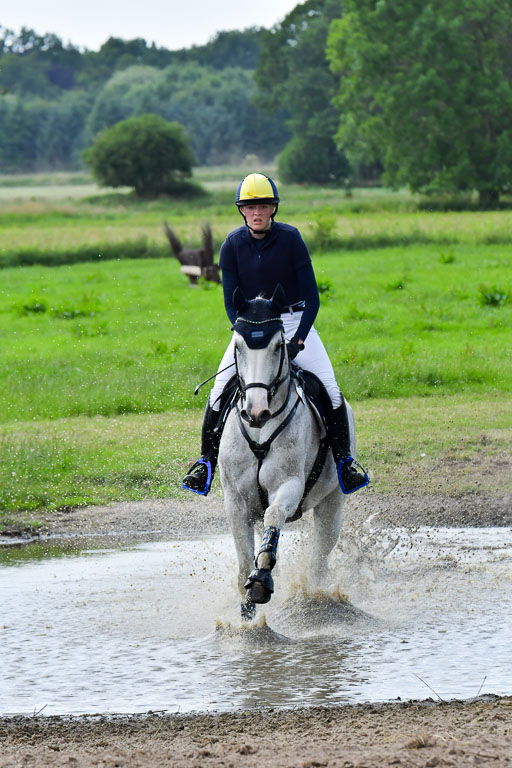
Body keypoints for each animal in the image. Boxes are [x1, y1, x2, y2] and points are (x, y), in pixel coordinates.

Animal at [218, 285, 356, 621]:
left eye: (279, 345)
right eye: (238, 345)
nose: (256, 411)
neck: (259, 432)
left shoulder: (289, 484)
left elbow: (274, 515)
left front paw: (261, 580)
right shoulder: (235, 501)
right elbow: (243, 563)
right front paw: (247, 616)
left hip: (332, 505)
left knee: (319, 560)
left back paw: (315, 600)